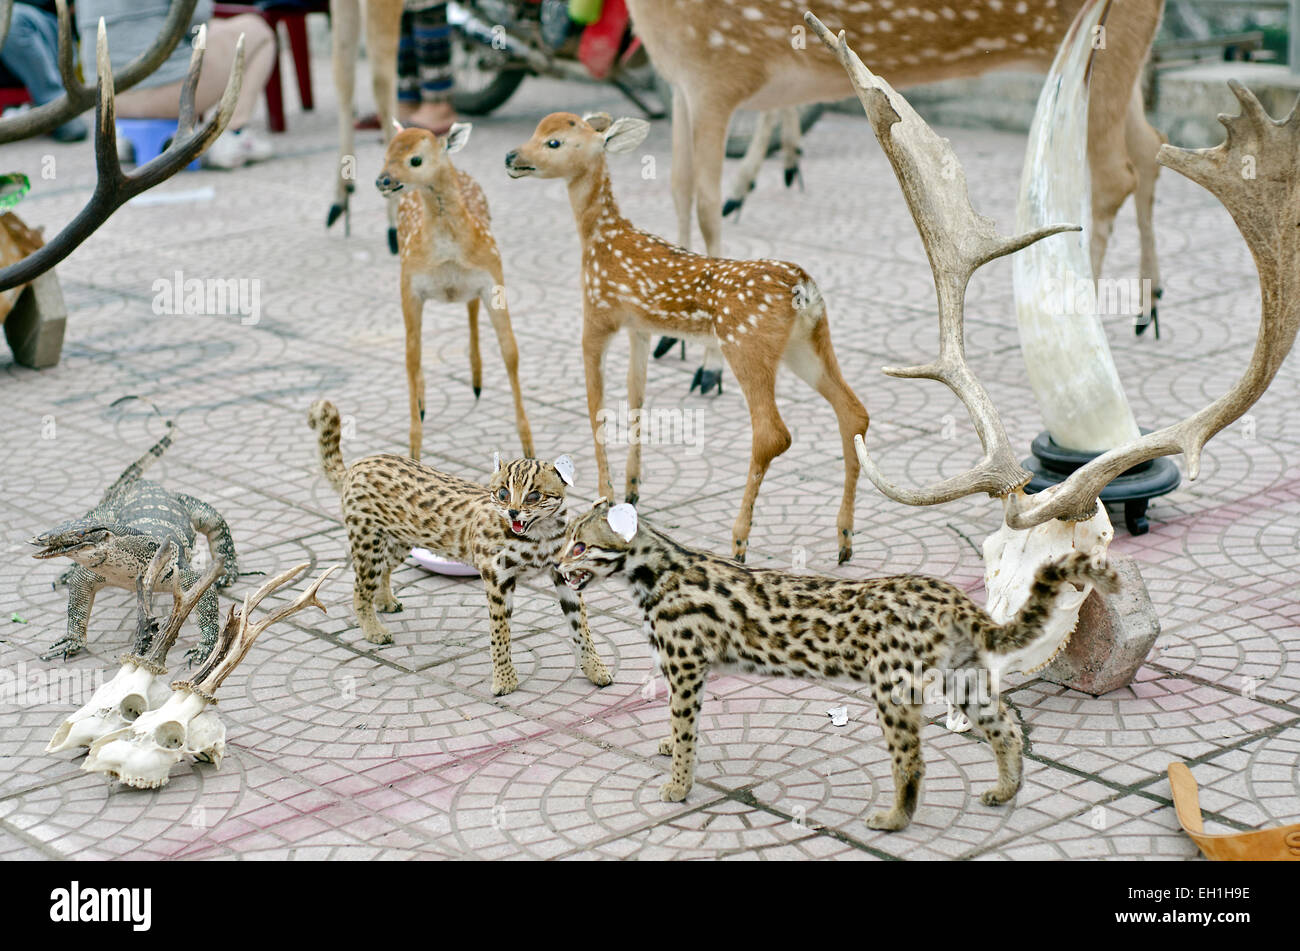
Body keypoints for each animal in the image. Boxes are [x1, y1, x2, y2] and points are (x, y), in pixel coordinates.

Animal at [306, 397, 611, 696]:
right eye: (503, 493)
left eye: (534, 496)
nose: (513, 512)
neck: (539, 535)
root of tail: (356, 466)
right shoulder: (496, 578)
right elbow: (500, 632)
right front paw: (504, 680)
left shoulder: (563, 574)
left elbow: (581, 626)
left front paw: (595, 668)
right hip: (369, 541)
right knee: (359, 588)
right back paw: (372, 628)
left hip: (397, 540)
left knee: (383, 572)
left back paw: (384, 600)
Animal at [556, 501, 1118, 826]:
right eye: (562, 541)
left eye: (581, 546)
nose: (558, 569)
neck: (654, 572)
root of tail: (955, 599)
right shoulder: (686, 671)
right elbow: (676, 723)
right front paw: (669, 749)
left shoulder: (687, 666)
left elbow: (685, 727)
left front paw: (677, 782)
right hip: (964, 675)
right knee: (1005, 729)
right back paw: (1005, 790)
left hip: (893, 687)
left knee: (912, 759)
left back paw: (894, 819)